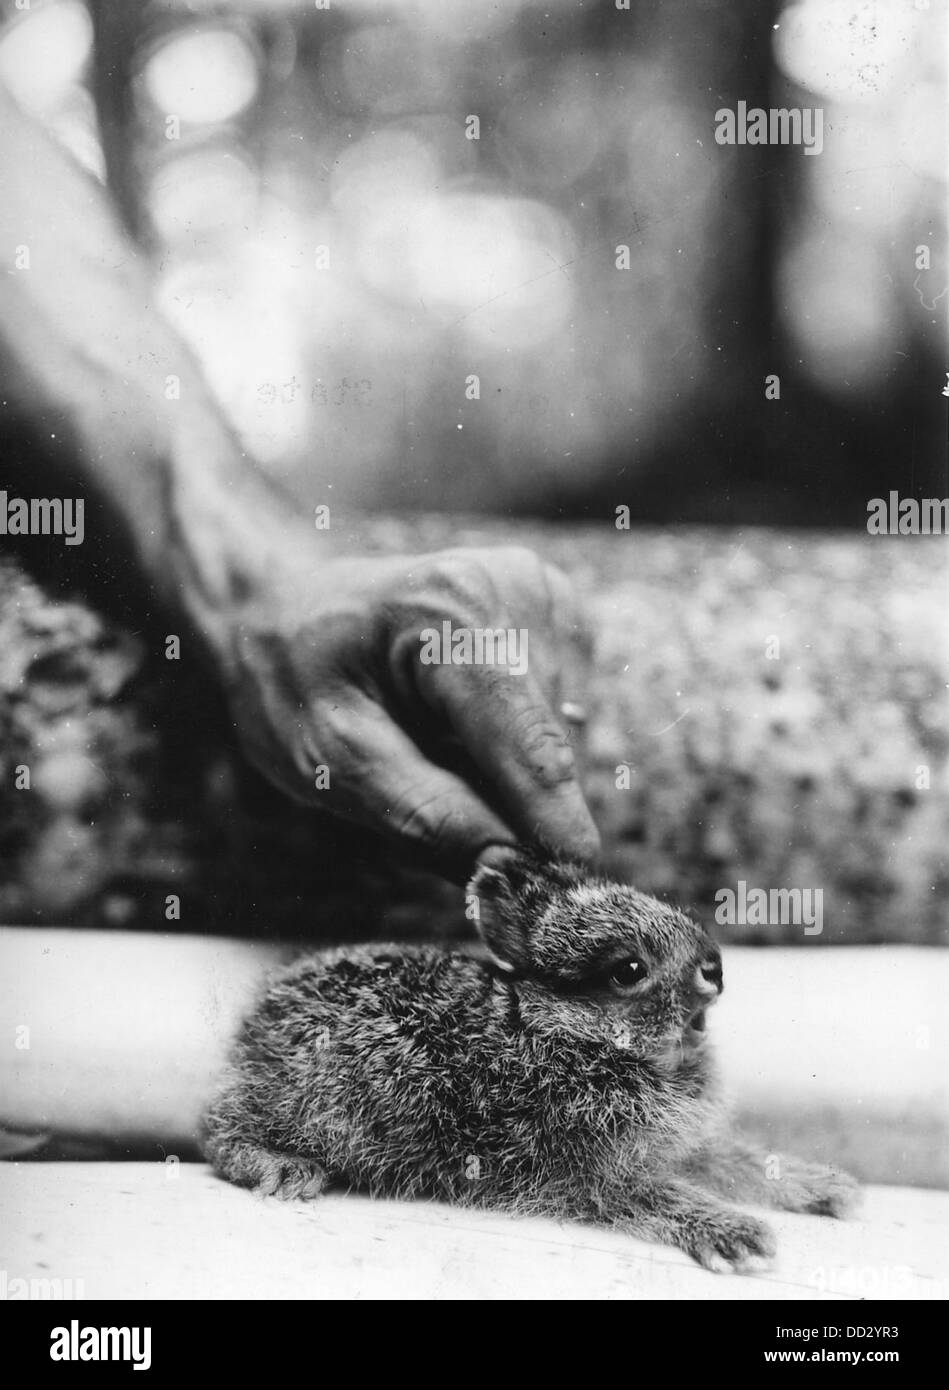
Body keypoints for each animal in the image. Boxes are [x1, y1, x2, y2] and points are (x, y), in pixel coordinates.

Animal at [203, 846, 858, 1271]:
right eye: (628, 970)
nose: (715, 968)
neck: (568, 1031)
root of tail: (258, 1014)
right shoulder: (582, 1167)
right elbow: (656, 1195)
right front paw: (738, 1238)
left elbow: (736, 1162)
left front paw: (829, 1188)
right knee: (219, 1135)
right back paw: (285, 1169)